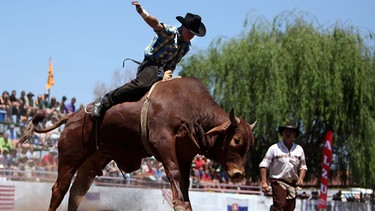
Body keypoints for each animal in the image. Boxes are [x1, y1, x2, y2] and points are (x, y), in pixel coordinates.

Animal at [19, 77, 258, 211]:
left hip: (91, 163)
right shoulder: (163, 142)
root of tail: (71, 118)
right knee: (59, 189)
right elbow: (173, 172)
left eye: (250, 145)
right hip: (69, 156)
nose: (238, 174)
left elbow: (183, 182)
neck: (190, 107)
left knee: (76, 193)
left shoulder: (185, 153)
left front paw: (185, 203)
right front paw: (180, 204)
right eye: (236, 140)